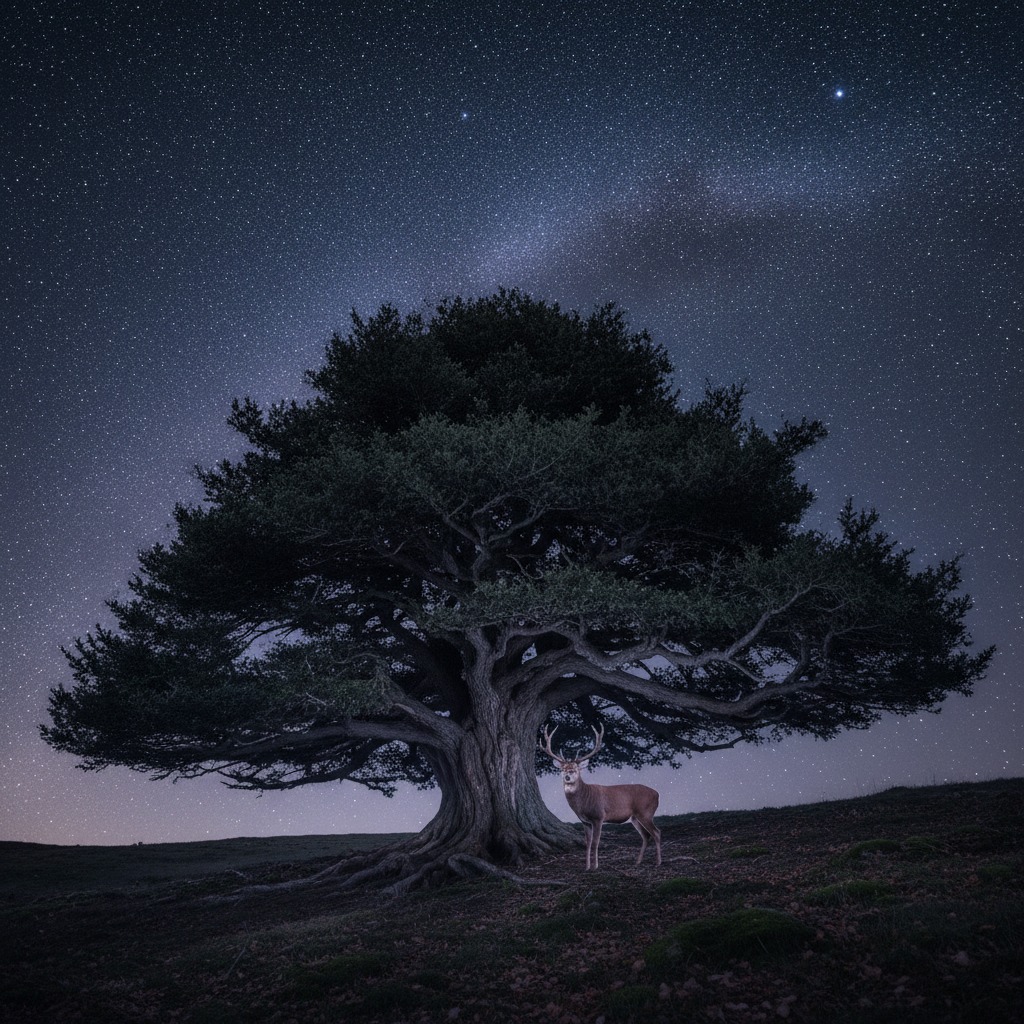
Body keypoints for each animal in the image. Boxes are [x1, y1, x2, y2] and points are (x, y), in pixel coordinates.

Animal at [540, 723, 661, 870]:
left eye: (575, 769)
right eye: (562, 769)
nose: (567, 776)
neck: (582, 802)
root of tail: (657, 794)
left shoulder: (598, 816)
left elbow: (595, 842)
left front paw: (595, 866)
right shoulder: (585, 821)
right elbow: (587, 843)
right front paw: (586, 867)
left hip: (645, 812)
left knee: (656, 832)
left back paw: (658, 862)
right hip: (635, 817)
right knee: (646, 835)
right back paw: (638, 862)